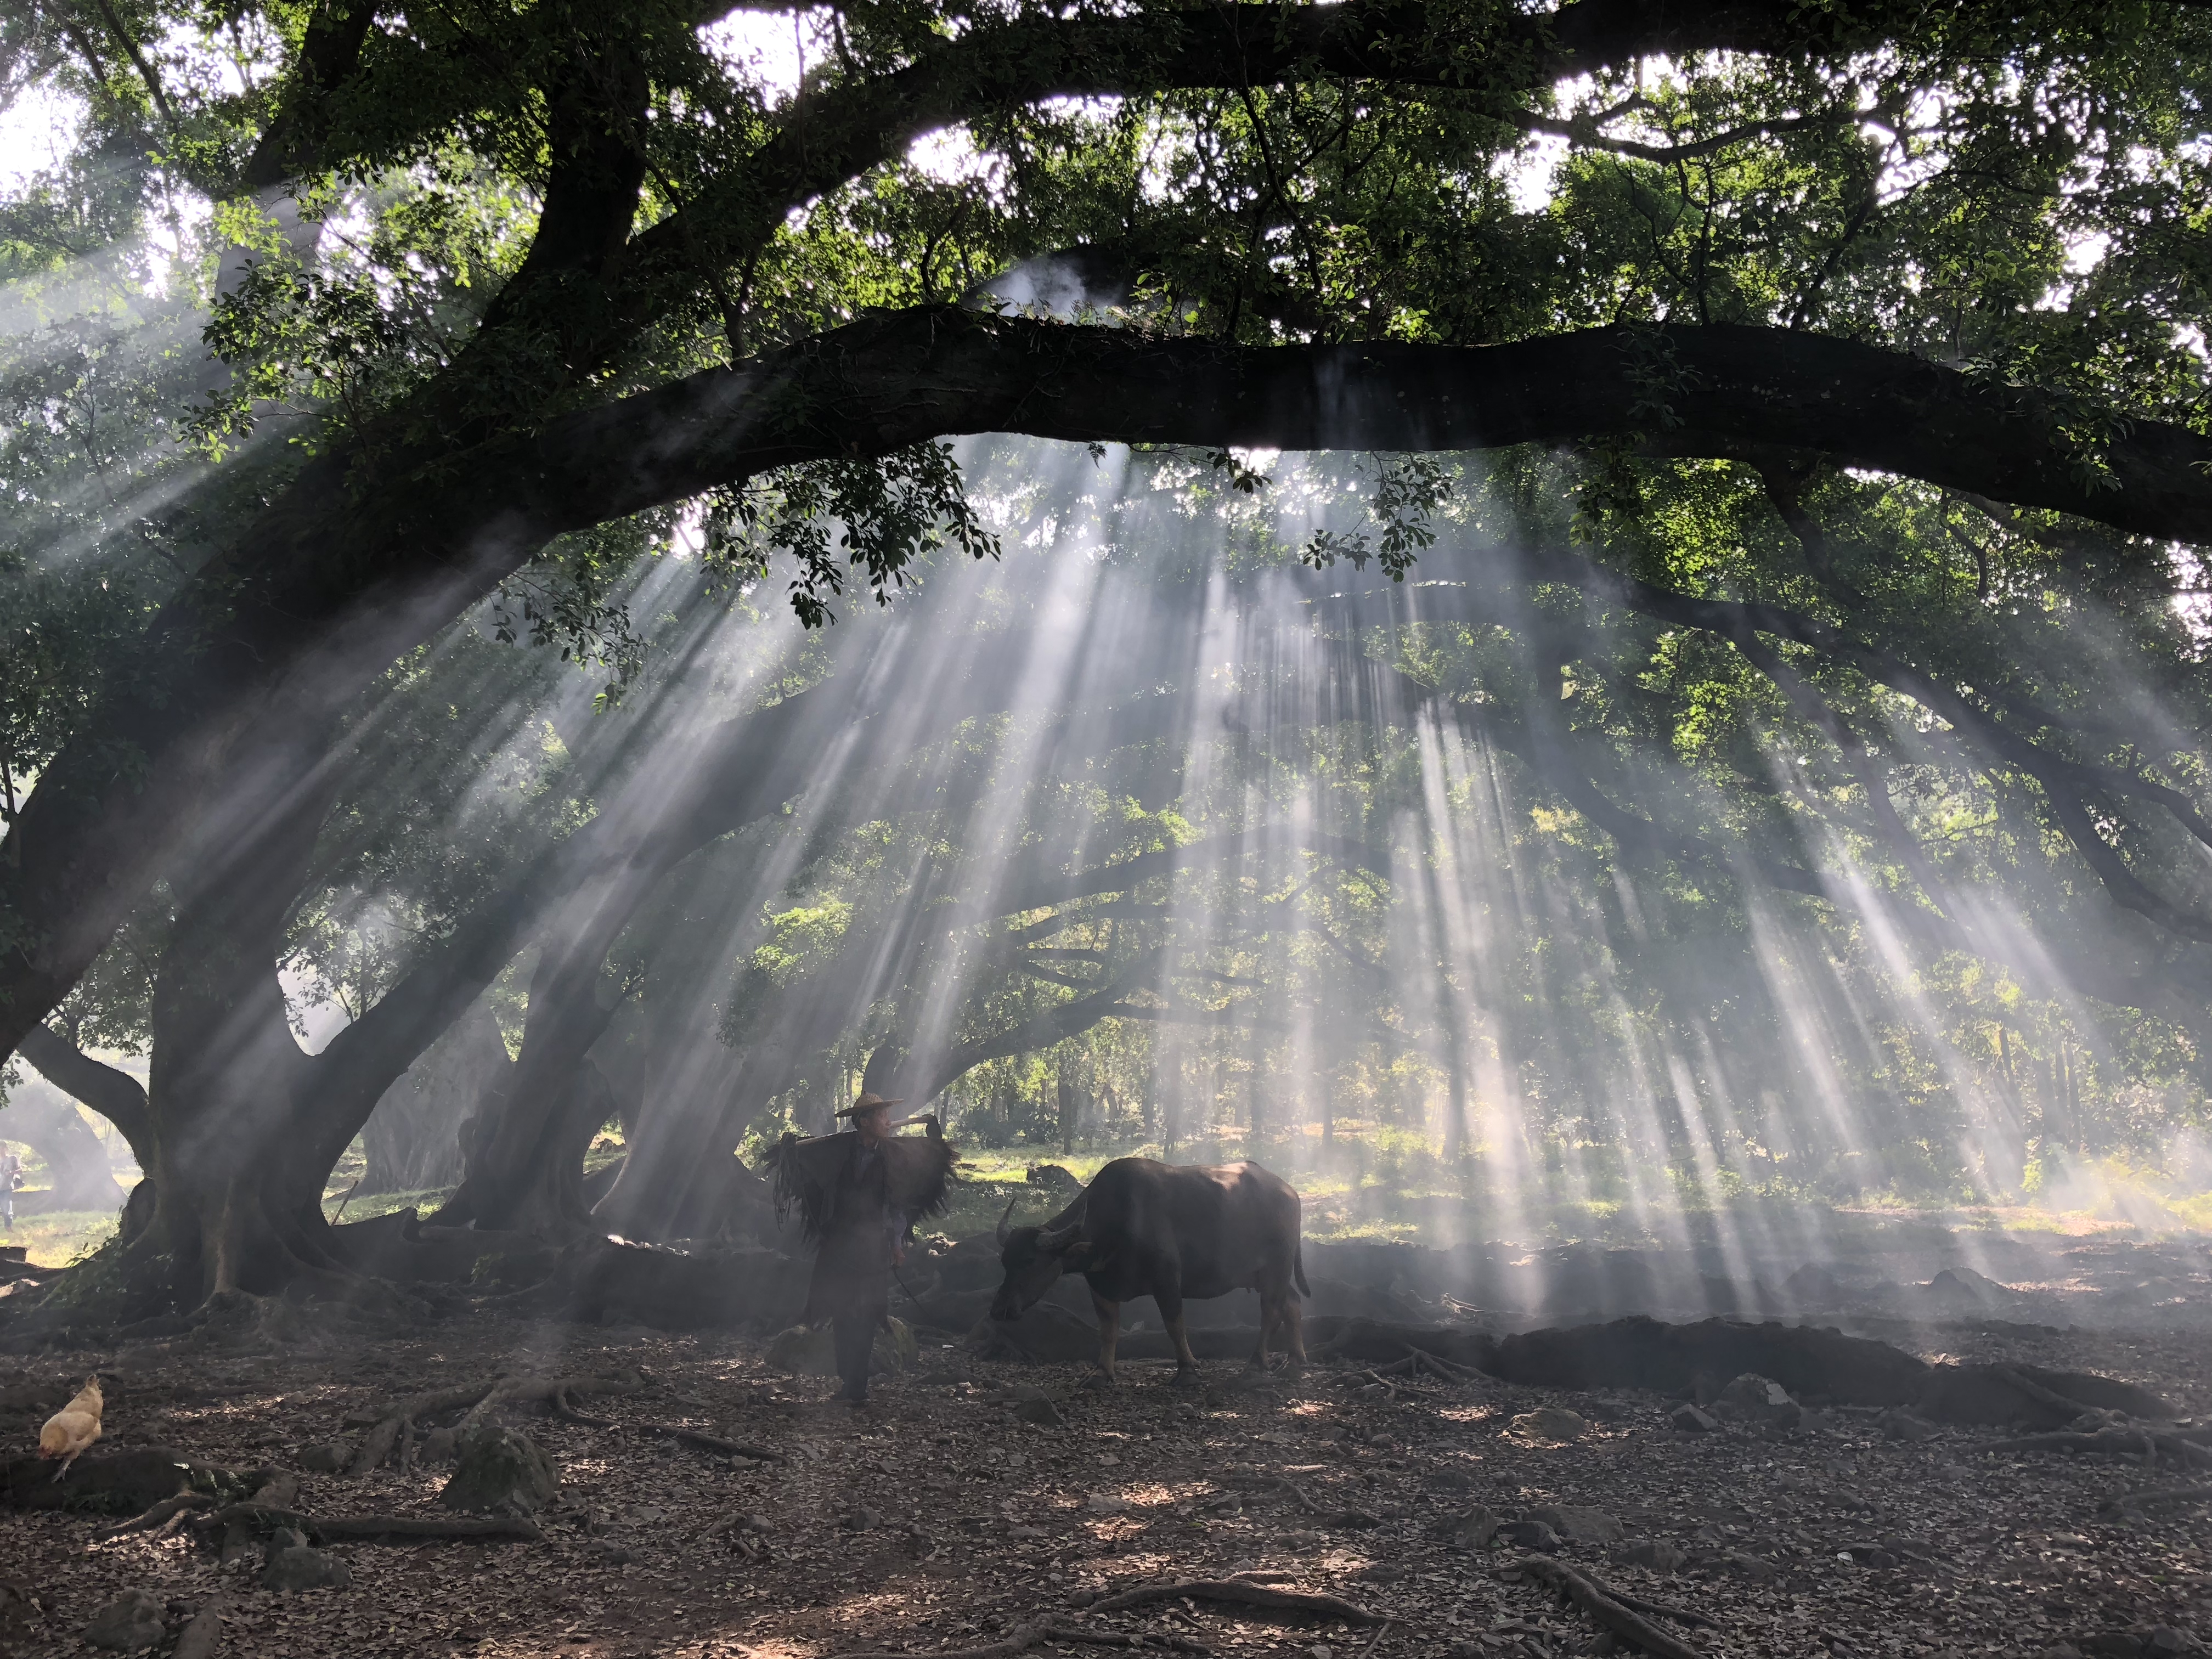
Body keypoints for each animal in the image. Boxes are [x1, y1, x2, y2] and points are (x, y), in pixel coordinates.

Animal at [995, 1159, 1300, 1380]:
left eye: (1029, 1261)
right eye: (1005, 1261)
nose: (1000, 1310)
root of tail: (1290, 1193)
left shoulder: (1167, 1280)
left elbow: (1175, 1325)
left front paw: (1187, 1370)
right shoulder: (1100, 1286)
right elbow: (1108, 1330)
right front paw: (1102, 1372)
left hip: (1277, 1267)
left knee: (1271, 1311)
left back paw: (1256, 1365)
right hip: (1265, 1275)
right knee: (1292, 1302)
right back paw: (1295, 1362)